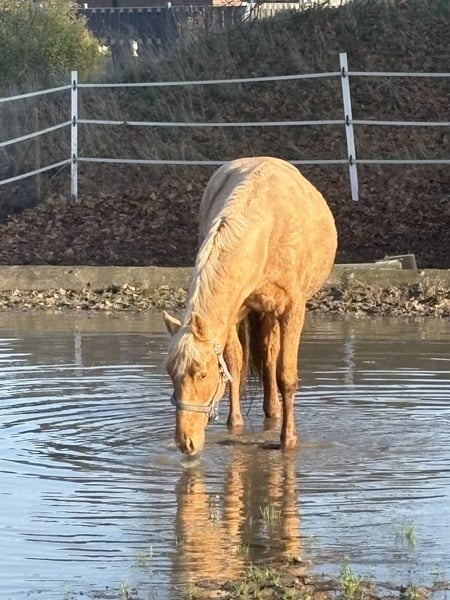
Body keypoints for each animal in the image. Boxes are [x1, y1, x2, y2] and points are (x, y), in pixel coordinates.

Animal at [164, 156, 337, 456]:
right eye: (171, 374)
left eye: (202, 374)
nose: (186, 442)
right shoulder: (234, 312)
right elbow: (234, 364)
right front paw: (235, 425)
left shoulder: (293, 311)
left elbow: (286, 375)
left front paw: (288, 439)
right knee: (264, 355)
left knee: (272, 359)